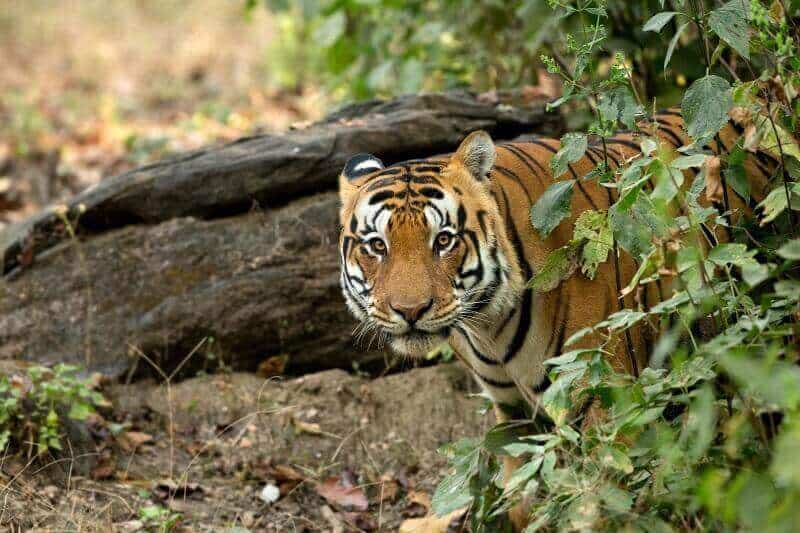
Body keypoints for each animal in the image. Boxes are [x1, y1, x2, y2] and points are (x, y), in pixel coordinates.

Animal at [336, 109, 776, 528]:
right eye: (377, 246)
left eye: (443, 240)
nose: (410, 311)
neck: (487, 327)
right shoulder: (512, 411)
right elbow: (524, 499)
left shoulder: (604, 396)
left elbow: (599, 501)